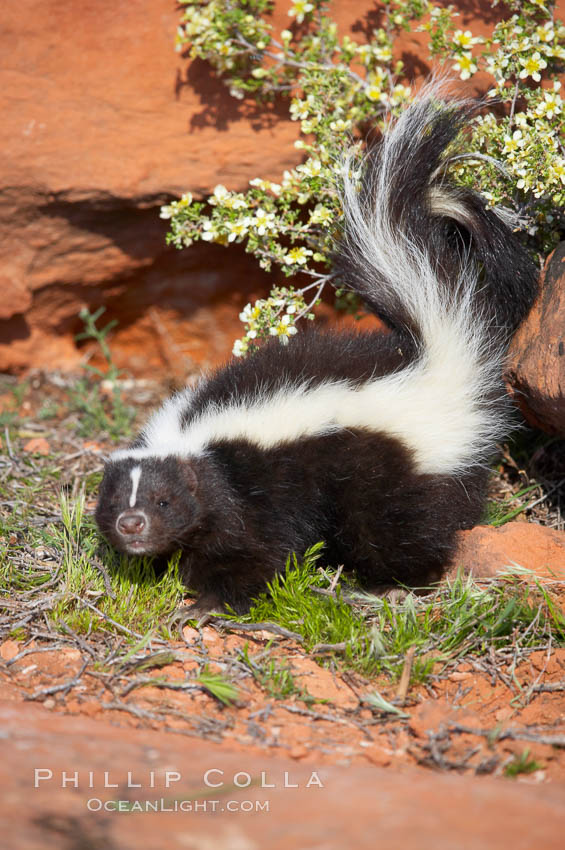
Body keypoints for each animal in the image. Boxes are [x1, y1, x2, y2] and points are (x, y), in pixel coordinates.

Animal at [96, 89, 536, 612]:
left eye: (164, 501)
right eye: (116, 501)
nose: (132, 525)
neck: (195, 441)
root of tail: (438, 359)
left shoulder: (251, 489)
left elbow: (251, 546)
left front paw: (211, 601)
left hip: (395, 473)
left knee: (407, 528)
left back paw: (392, 583)